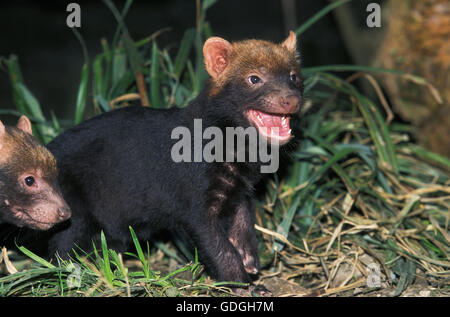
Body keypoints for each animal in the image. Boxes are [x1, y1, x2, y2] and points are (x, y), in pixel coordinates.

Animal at [44, 31, 302, 292]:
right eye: (254, 78)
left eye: (294, 76)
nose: (291, 100)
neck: (238, 152)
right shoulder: (196, 202)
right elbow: (220, 249)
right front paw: (244, 284)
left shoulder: (240, 190)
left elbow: (244, 225)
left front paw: (250, 261)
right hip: (74, 212)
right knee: (60, 252)